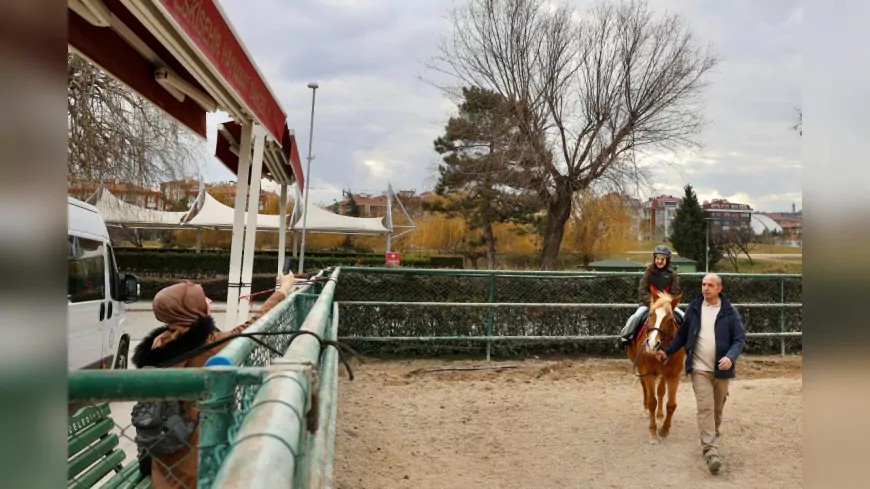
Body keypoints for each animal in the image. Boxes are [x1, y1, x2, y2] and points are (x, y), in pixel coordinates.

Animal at [628, 288, 688, 444]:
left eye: (670, 320)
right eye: (651, 315)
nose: (652, 344)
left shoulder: (674, 374)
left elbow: (671, 404)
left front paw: (664, 430)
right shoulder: (648, 372)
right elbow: (652, 402)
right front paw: (653, 433)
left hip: (663, 374)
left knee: (661, 391)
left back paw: (660, 416)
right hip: (640, 369)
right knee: (645, 388)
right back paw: (646, 411)